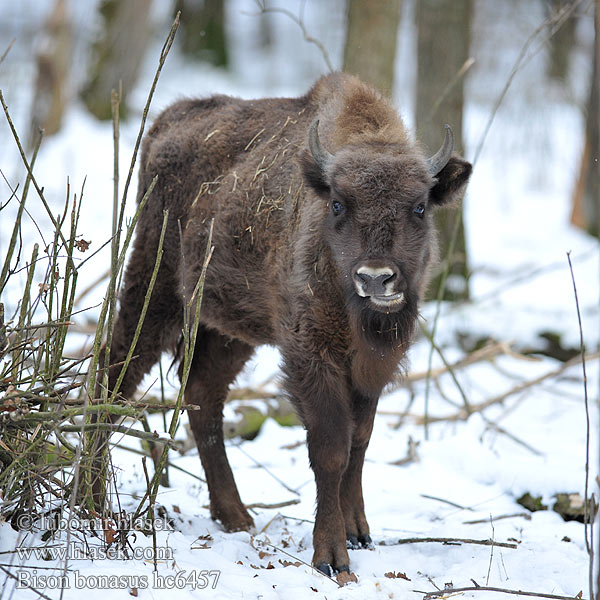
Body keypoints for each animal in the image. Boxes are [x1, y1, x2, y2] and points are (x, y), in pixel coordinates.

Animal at [99, 72, 474, 576]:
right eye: (337, 204)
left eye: (419, 206)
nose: (376, 277)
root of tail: (165, 124)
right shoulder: (309, 354)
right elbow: (331, 449)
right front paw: (331, 556)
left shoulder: (372, 367)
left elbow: (360, 442)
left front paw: (359, 532)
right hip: (153, 289)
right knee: (114, 376)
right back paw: (92, 501)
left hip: (229, 329)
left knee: (203, 395)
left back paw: (235, 516)